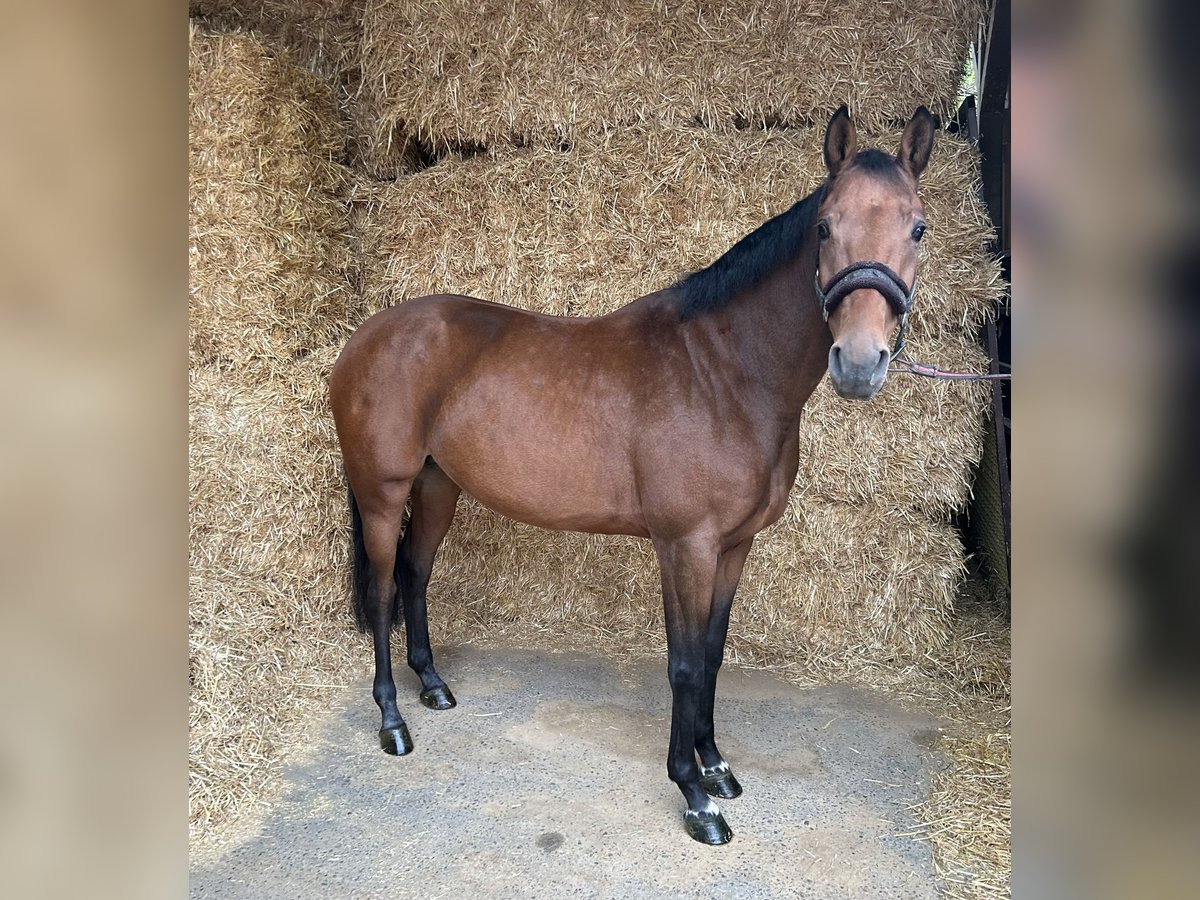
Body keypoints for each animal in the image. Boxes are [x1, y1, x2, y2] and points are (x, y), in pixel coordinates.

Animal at [331, 105, 936, 844]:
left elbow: (713, 653)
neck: (724, 374)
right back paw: (393, 721)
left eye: (917, 226)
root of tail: (364, 338)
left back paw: (434, 687)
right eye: (825, 224)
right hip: (383, 496)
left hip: (438, 486)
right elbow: (683, 663)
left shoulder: (734, 546)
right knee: (386, 590)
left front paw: (716, 765)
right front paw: (694, 794)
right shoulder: (685, 545)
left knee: (416, 575)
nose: (859, 361)